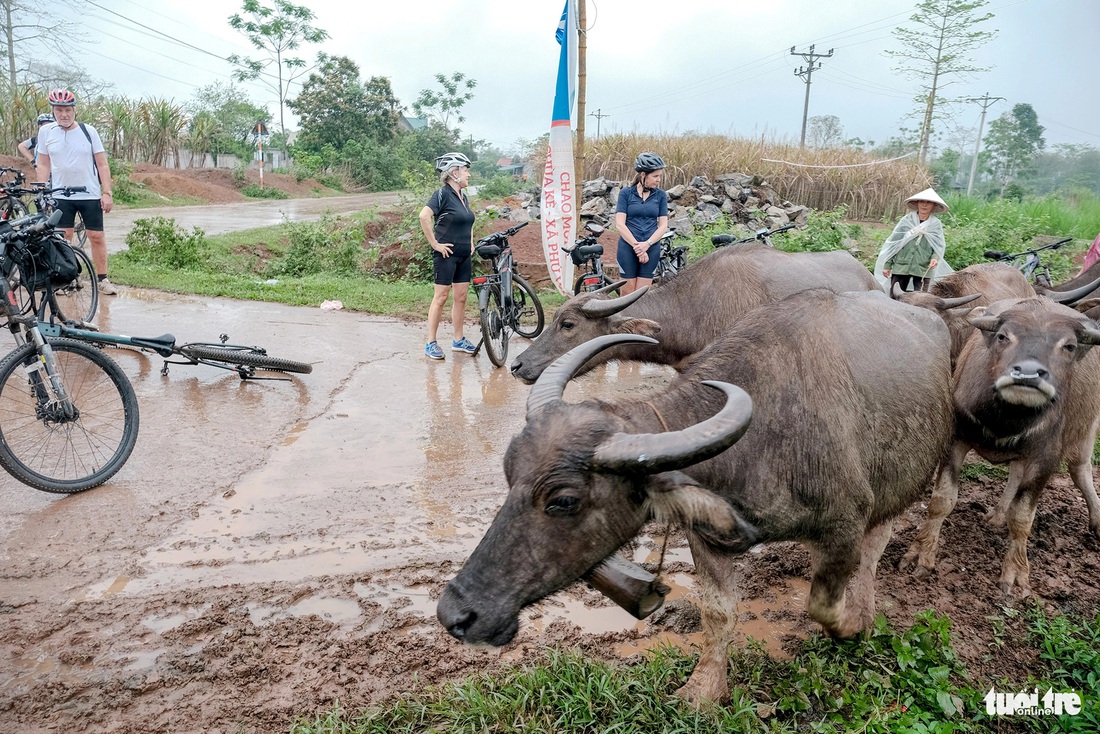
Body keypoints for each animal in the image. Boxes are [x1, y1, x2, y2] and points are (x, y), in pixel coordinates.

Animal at [437, 290, 954, 704]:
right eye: (510, 474)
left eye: (563, 500)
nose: (455, 613)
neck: (763, 433)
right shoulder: (707, 536)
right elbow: (718, 613)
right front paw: (703, 691)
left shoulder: (844, 525)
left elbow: (823, 604)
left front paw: (851, 627)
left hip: (904, 481)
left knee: (878, 542)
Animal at [897, 294, 1100, 594]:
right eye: (1003, 336)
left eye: (1069, 346)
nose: (1028, 374)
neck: (1006, 418)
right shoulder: (955, 441)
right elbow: (942, 500)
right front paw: (921, 554)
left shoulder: (1044, 460)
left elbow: (1023, 517)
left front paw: (1015, 574)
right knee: (1015, 474)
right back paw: (997, 515)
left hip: (1085, 431)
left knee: (1081, 471)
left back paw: (1096, 521)